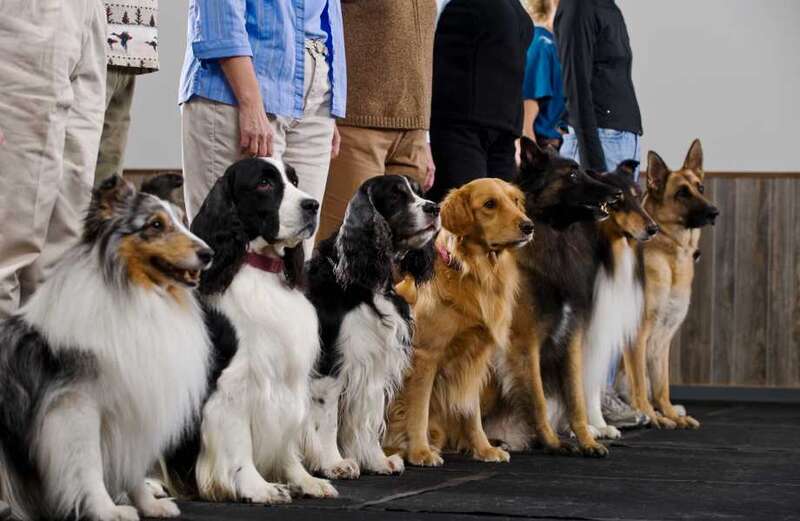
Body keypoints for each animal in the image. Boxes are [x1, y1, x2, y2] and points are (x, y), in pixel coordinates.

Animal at [484, 137, 620, 456]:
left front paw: (587, 441)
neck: (554, 236)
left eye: (582, 170)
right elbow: (537, 399)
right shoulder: (524, 343)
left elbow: (576, 398)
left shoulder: (570, 338)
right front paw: (553, 443)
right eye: (571, 175)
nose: (618, 193)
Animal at [624, 138, 720, 426]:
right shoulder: (637, 335)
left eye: (700, 188)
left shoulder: (662, 338)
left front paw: (667, 413)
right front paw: (649, 414)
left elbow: (661, 384)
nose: (714, 212)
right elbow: (640, 384)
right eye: (682, 193)